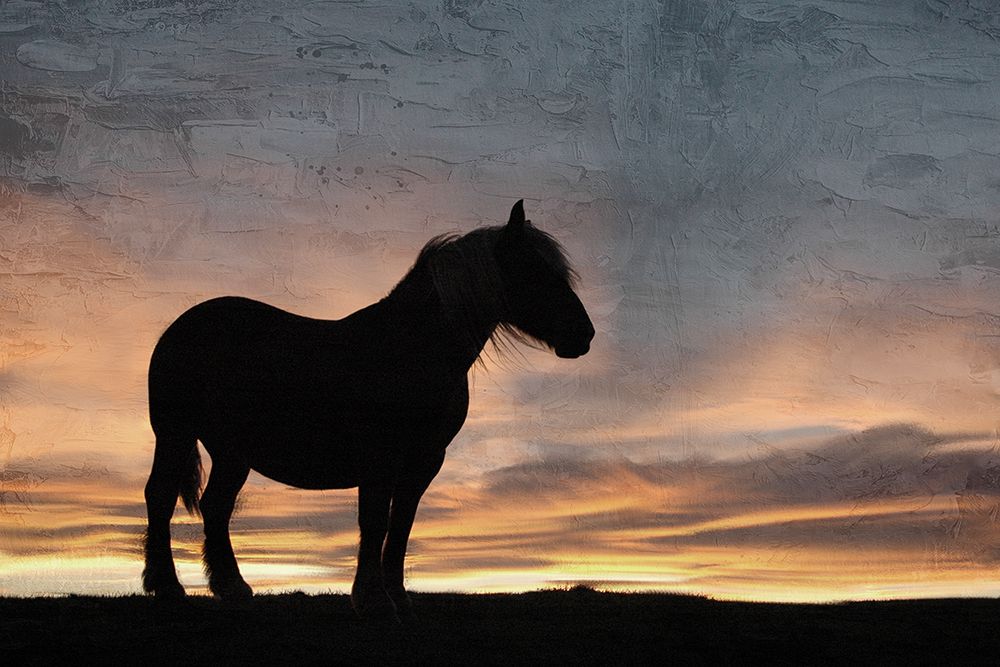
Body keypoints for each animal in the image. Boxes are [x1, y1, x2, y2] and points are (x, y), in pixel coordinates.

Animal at [141, 200, 595, 621]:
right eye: (534, 270)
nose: (584, 335)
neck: (410, 347)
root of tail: (182, 325)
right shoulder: (380, 459)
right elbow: (374, 522)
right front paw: (373, 600)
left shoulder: (424, 462)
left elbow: (401, 527)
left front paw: (398, 598)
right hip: (176, 434)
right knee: (160, 496)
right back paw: (167, 588)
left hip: (233, 453)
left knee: (216, 507)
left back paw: (232, 588)